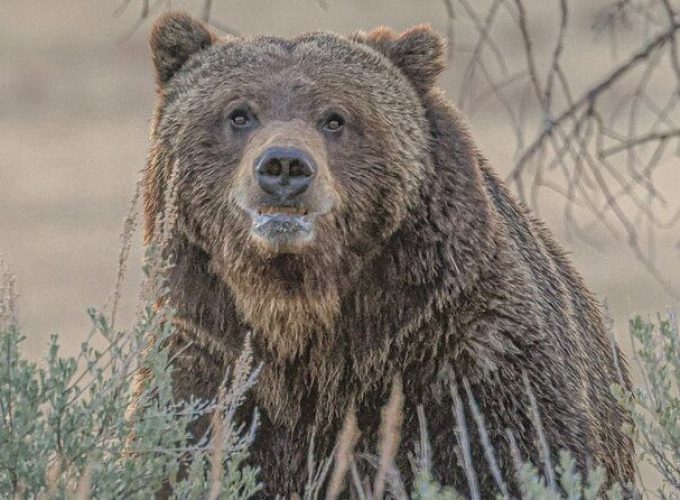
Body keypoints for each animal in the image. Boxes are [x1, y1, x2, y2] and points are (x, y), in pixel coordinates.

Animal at [141, 11, 636, 496]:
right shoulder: (207, 363)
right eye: (239, 113)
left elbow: (516, 453)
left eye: (334, 118)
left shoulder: (463, 353)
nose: (284, 165)